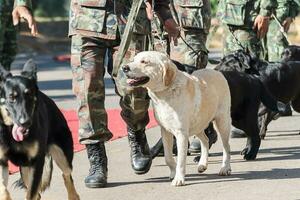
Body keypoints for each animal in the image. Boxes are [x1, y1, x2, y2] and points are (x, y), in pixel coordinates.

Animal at [0, 60, 79, 200]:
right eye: (12, 98)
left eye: (29, 95)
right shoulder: (2, 161)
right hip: (25, 169)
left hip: (62, 157)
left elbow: (31, 193)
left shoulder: (36, 163)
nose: (25, 122)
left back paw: (73, 196)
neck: (9, 132)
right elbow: (3, 189)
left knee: (66, 175)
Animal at [122, 51, 232, 186]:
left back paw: (225, 168)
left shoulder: (181, 134)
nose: (124, 68)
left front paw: (179, 179)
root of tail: (217, 72)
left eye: (144, 62)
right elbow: (168, 157)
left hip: (222, 122)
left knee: (226, 147)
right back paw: (202, 164)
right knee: (206, 140)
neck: (164, 95)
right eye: (134, 59)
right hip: (197, 125)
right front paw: (173, 174)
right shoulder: (165, 131)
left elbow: (180, 159)